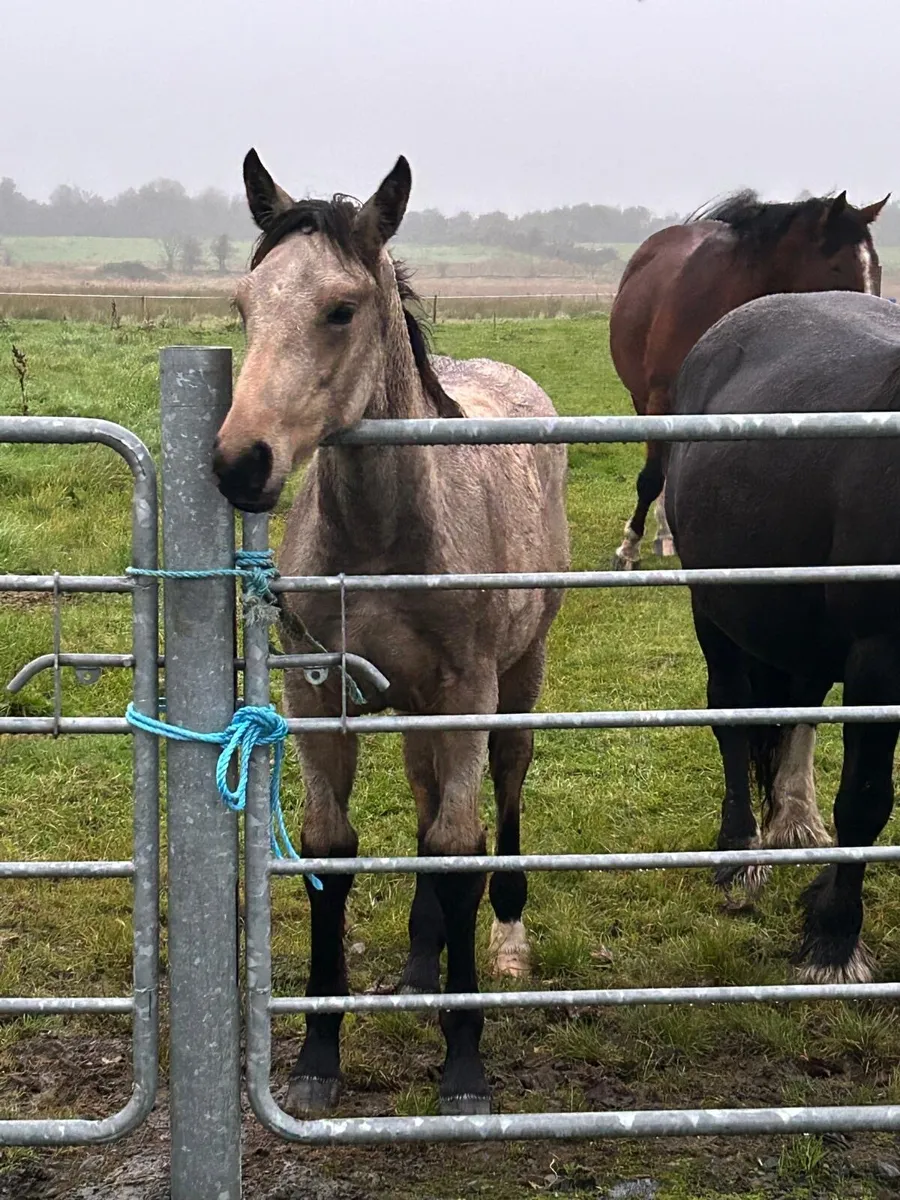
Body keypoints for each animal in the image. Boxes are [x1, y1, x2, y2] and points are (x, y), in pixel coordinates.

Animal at [212, 150, 570, 1116]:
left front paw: (465, 1066)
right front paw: (316, 1057)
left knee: (501, 798)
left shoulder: (468, 695)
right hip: (412, 707)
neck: (383, 538)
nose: (239, 463)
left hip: (516, 681)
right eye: (244, 304)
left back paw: (506, 940)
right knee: (422, 804)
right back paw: (418, 962)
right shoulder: (315, 694)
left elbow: (459, 847)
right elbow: (333, 851)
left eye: (341, 308)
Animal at [666, 289, 900, 984]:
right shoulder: (878, 660)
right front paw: (833, 940)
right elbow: (867, 799)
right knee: (734, 715)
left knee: (798, 703)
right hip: (715, 611)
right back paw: (741, 852)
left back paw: (794, 822)